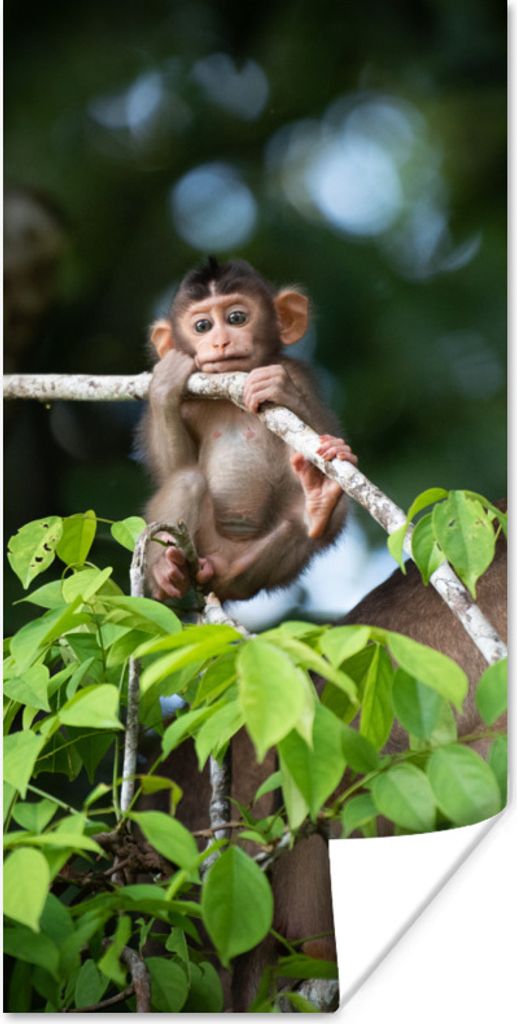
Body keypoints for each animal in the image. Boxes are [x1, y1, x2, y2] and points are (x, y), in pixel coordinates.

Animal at [140, 257, 357, 603]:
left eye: (237, 318)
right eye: (202, 326)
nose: (221, 341)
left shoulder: (299, 374)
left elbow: (313, 430)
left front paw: (280, 389)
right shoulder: (188, 400)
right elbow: (172, 467)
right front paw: (165, 384)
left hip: (250, 569)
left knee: (320, 520)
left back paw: (318, 506)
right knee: (187, 480)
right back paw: (166, 573)